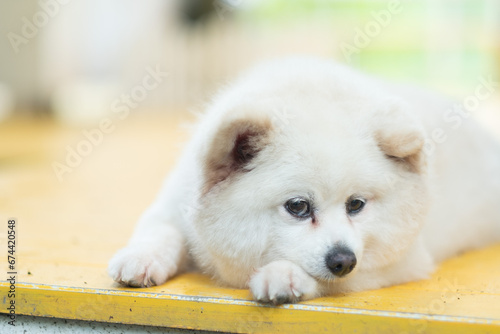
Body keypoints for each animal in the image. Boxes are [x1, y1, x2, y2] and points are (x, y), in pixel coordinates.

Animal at [108, 58, 500, 306]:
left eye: (356, 205)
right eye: (298, 207)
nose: (342, 259)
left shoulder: (401, 262)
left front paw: (285, 276)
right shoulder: (176, 201)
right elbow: (160, 228)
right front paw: (142, 256)